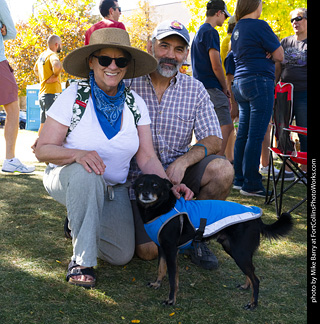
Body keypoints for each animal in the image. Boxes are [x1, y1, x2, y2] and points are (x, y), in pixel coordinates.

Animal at [132, 175, 292, 308]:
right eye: (140, 185)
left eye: (155, 185)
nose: (145, 193)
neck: (161, 208)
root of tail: (257, 218)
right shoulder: (162, 248)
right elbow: (161, 268)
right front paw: (157, 284)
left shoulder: (171, 251)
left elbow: (172, 279)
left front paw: (171, 300)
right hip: (234, 250)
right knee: (251, 272)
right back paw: (246, 286)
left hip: (239, 253)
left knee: (256, 279)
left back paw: (253, 303)